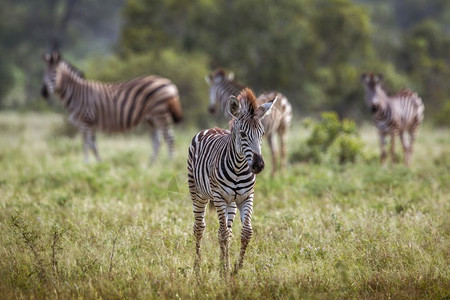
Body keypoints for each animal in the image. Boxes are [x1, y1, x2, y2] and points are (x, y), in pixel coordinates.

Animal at [41, 52, 182, 164]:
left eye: (55, 73)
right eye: (44, 73)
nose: (43, 93)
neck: (76, 94)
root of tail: (169, 83)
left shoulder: (86, 120)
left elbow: (85, 144)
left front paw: (85, 164)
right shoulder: (91, 123)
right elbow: (93, 145)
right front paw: (99, 164)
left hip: (160, 113)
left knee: (169, 138)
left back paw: (169, 164)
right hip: (151, 118)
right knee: (157, 141)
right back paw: (151, 165)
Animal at [188, 87, 276, 274]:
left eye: (262, 134)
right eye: (242, 134)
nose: (258, 166)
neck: (239, 167)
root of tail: (212, 128)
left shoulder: (246, 197)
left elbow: (246, 232)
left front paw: (235, 268)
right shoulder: (219, 197)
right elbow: (221, 234)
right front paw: (226, 270)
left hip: (232, 202)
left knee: (227, 231)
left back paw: (224, 264)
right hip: (199, 194)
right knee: (199, 227)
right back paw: (197, 267)